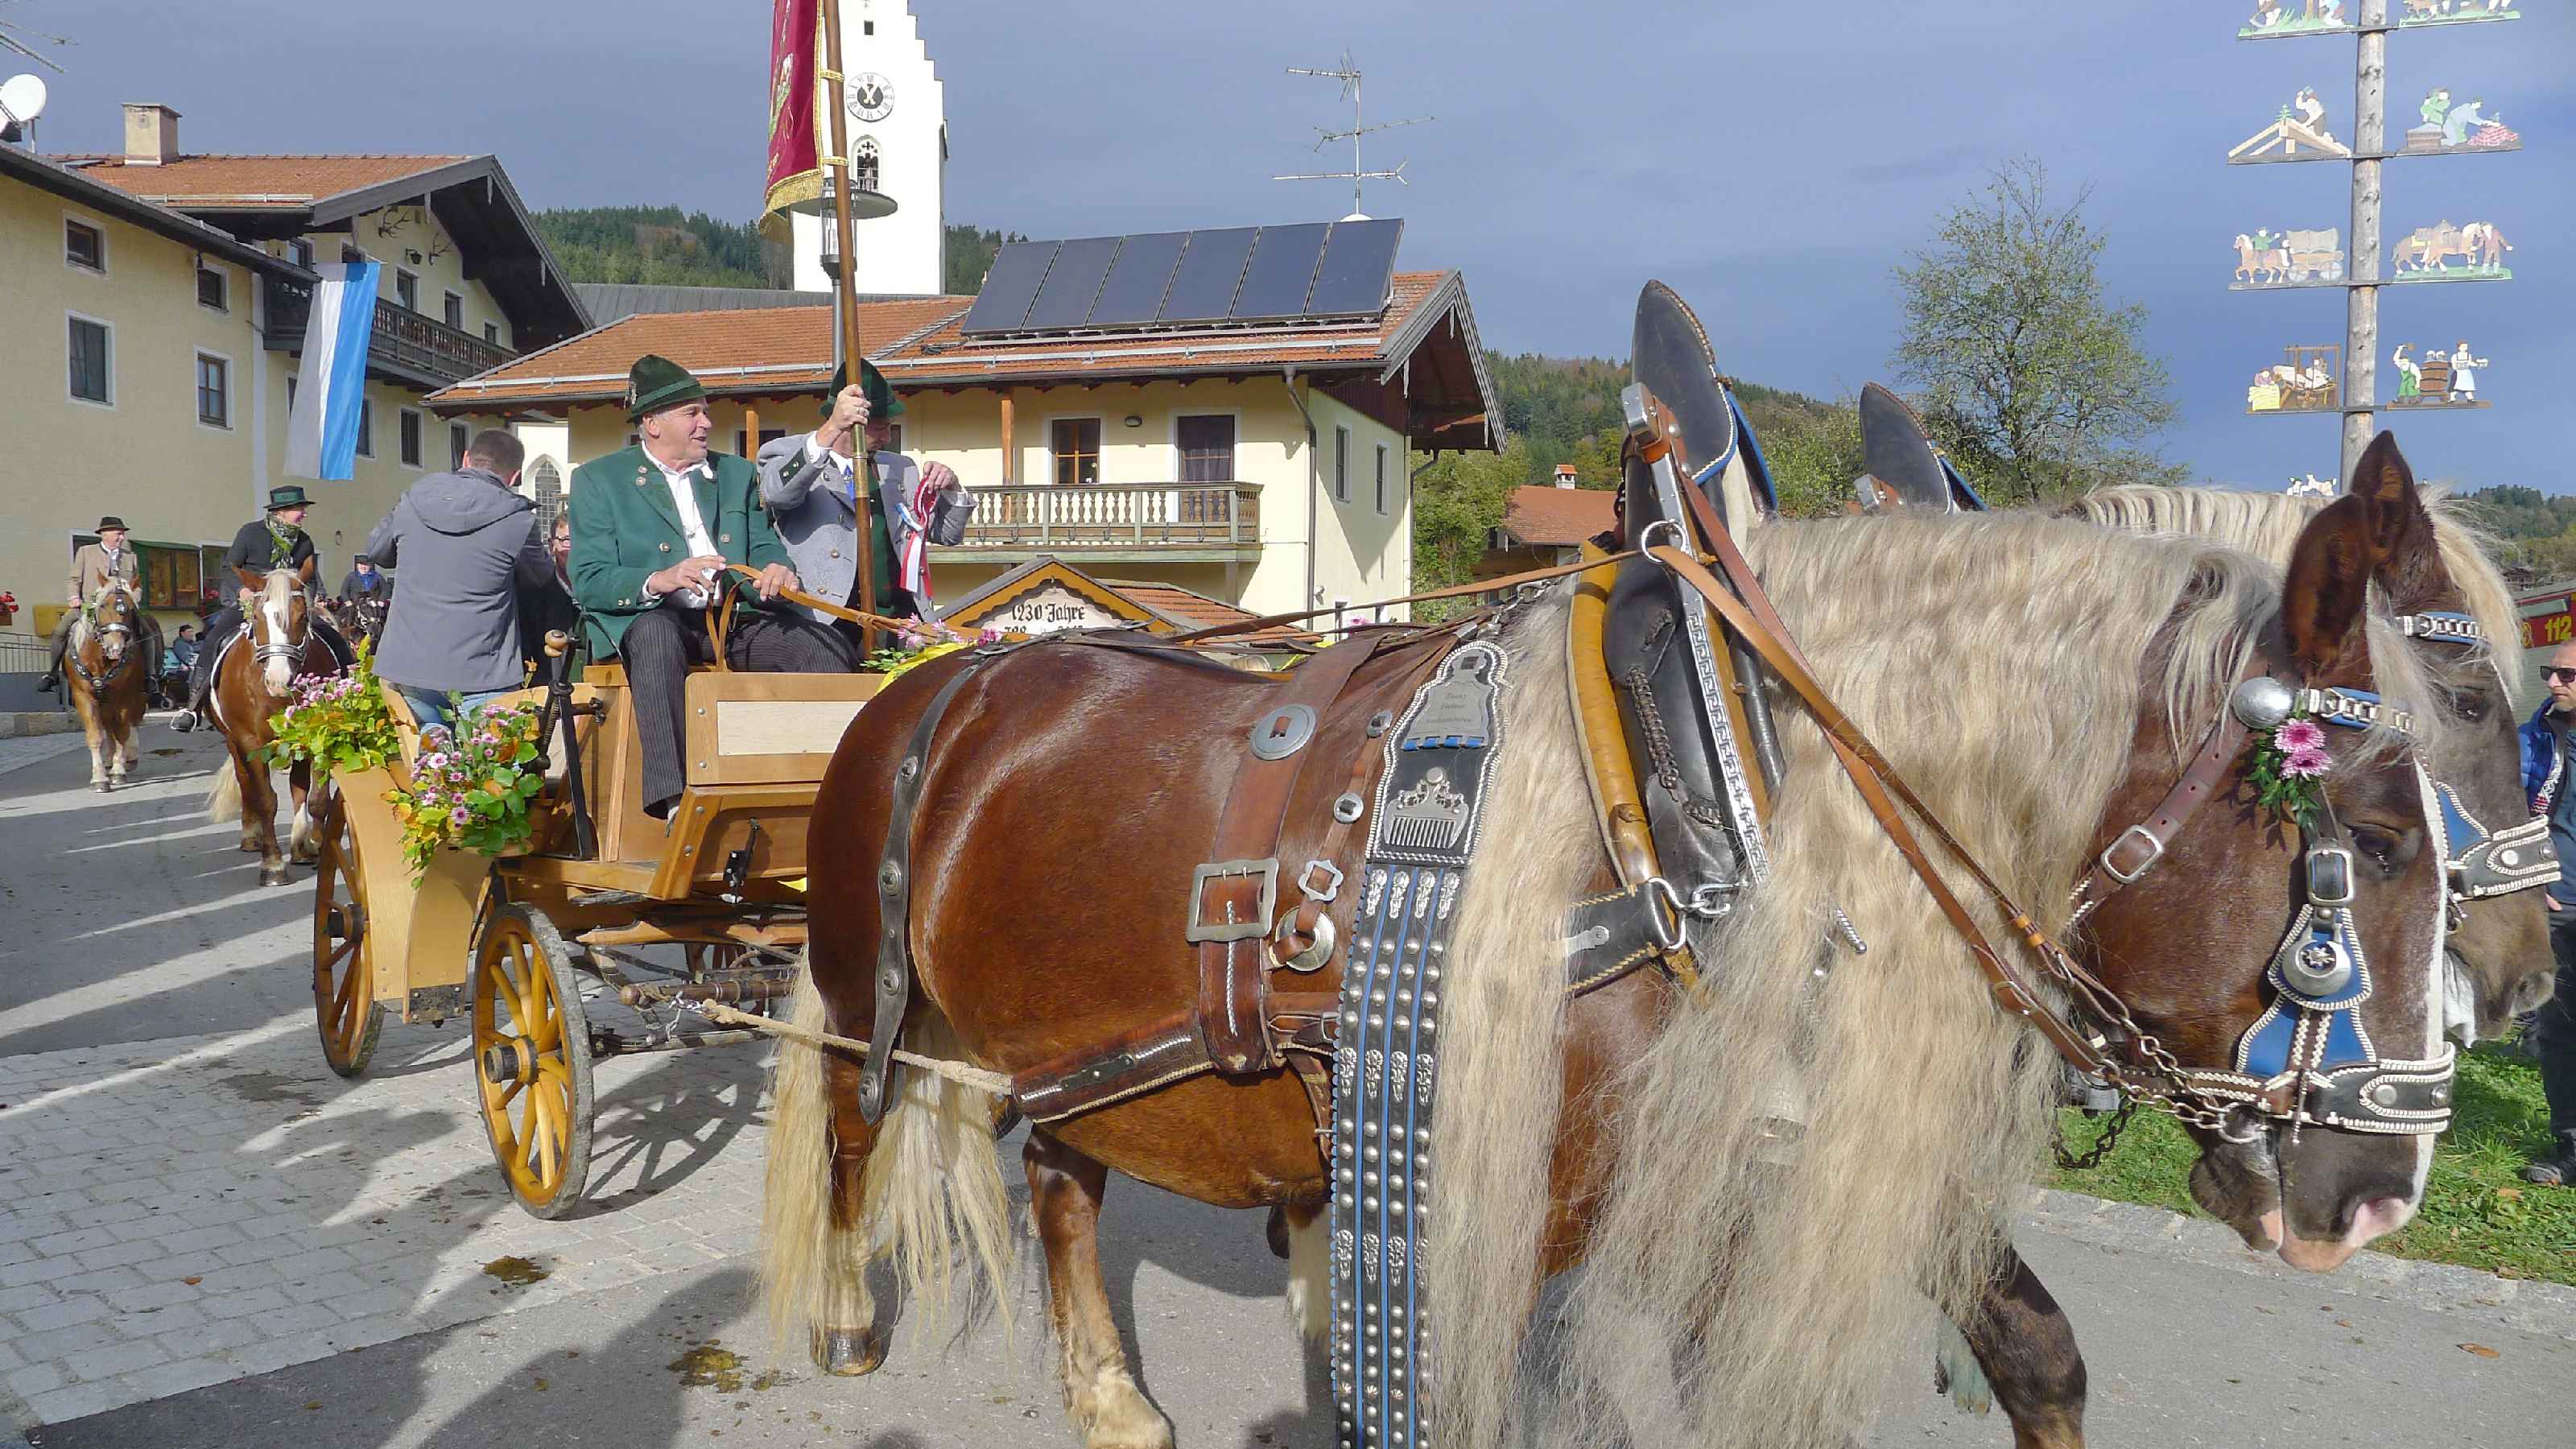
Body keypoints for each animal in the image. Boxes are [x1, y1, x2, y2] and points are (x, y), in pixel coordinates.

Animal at [63, 581, 150, 792]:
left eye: (131, 609)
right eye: (103, 605)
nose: (115, 648)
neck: (100, 660)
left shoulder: (125, 698)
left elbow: (122, 733)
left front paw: (118, 771)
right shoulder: (83, 698)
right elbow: (96, 736)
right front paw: (99, 778)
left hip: (135, 698)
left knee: (129, 725)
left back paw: (128, 759)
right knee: (110, 729)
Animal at [204, 570, 341, 885]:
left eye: (302, 616)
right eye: (256, 617)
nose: (279, 680)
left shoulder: (318, 736)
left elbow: (317, 799)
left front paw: (317, 846)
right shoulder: (250, 743)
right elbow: (266, 800)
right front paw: (274, 865)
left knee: (298, 787)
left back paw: (301, 846)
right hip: (233, 742)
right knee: (245, 783)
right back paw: (252, 837)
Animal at [760, 448, 2455, 1449]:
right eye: (2370, 842)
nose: (2377, 1189)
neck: (1702, 796)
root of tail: (954, 672)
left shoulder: (1750, 1163)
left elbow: (2029, 1347)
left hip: (1084, 1042)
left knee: (1061, 1170)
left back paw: (1112, 1395)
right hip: (858, 978)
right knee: (853, 1126)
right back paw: (843, 1314)